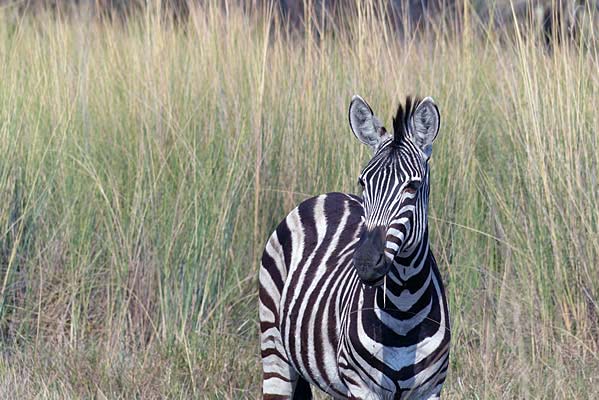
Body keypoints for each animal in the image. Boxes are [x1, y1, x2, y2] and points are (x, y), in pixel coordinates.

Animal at [260, 95, 452, 398]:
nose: (365, 262)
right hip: (274, 349)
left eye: (412, 187)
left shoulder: (430, 390)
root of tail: (327, 195)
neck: (404, 308)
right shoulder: (361, 387)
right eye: (363, 182)